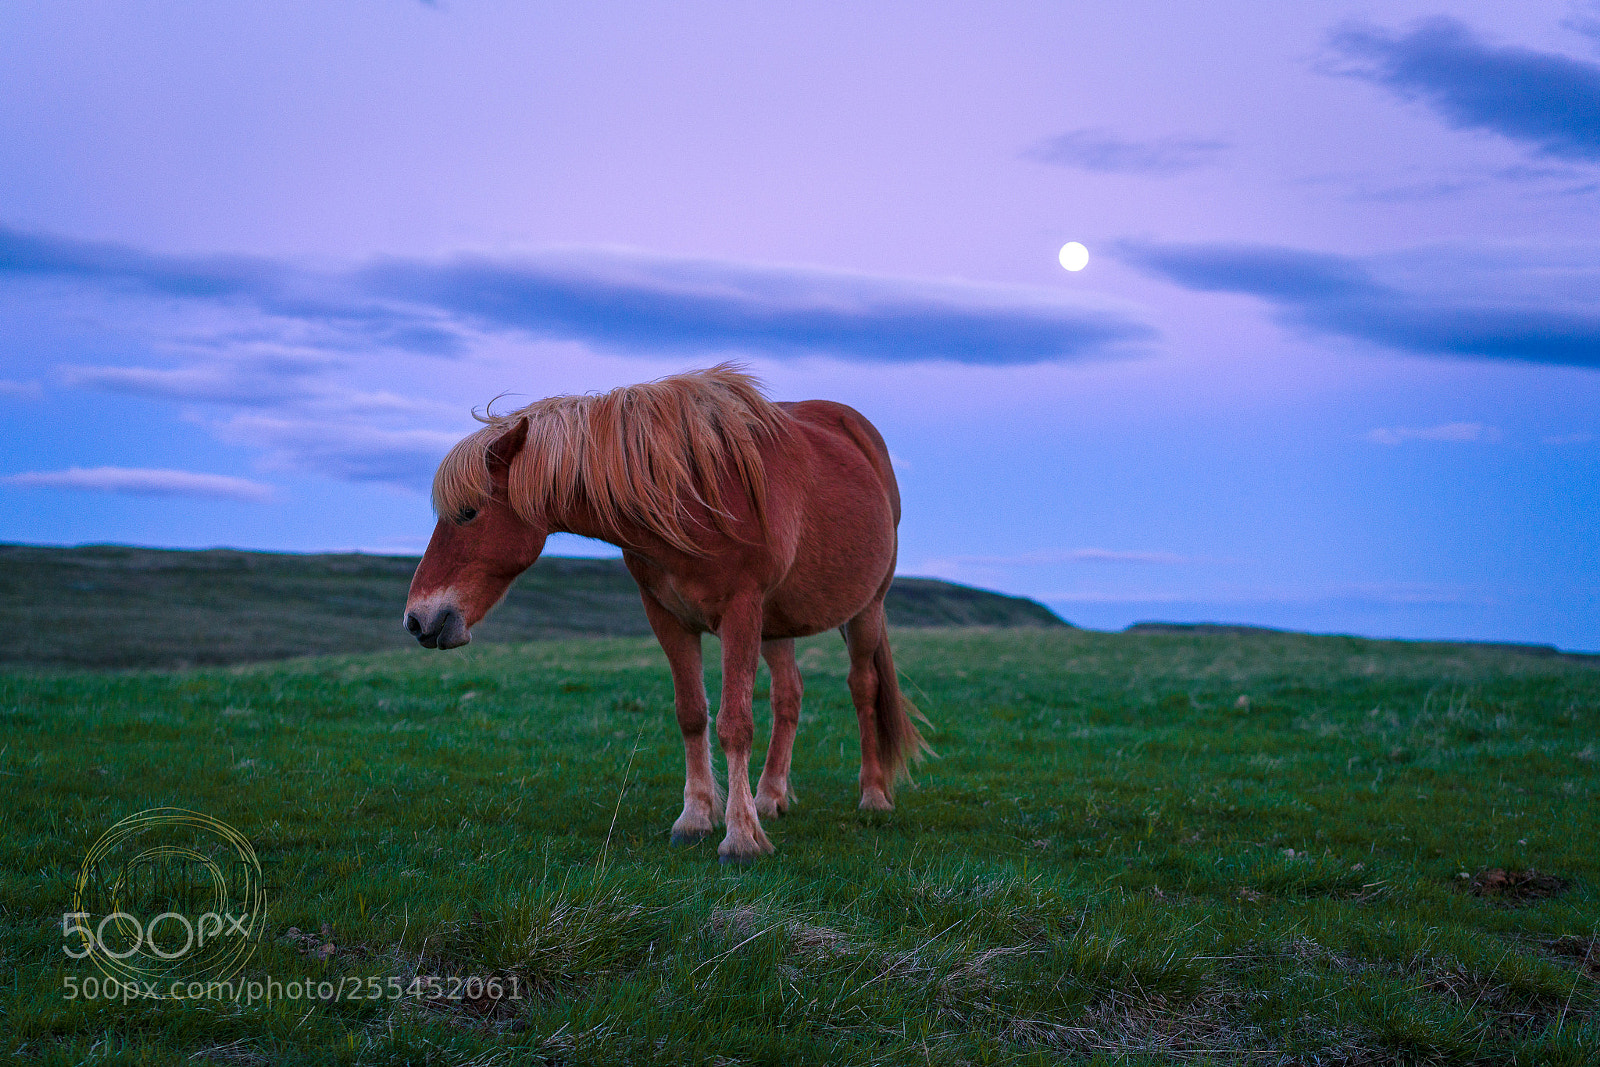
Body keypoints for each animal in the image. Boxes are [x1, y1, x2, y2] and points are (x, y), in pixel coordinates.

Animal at [403, 365, 929, 863]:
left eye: (468, 513)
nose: (417, 620)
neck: (692, 494)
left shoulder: (741, 611)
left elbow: (735, 723)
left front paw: (741, 838)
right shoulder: (667, 616)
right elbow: (692, 714)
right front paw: (695, 819)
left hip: (865, 609)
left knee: (863, 688)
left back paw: (873, 797)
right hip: (777, 624)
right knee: (789, 695)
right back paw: (770, 797)